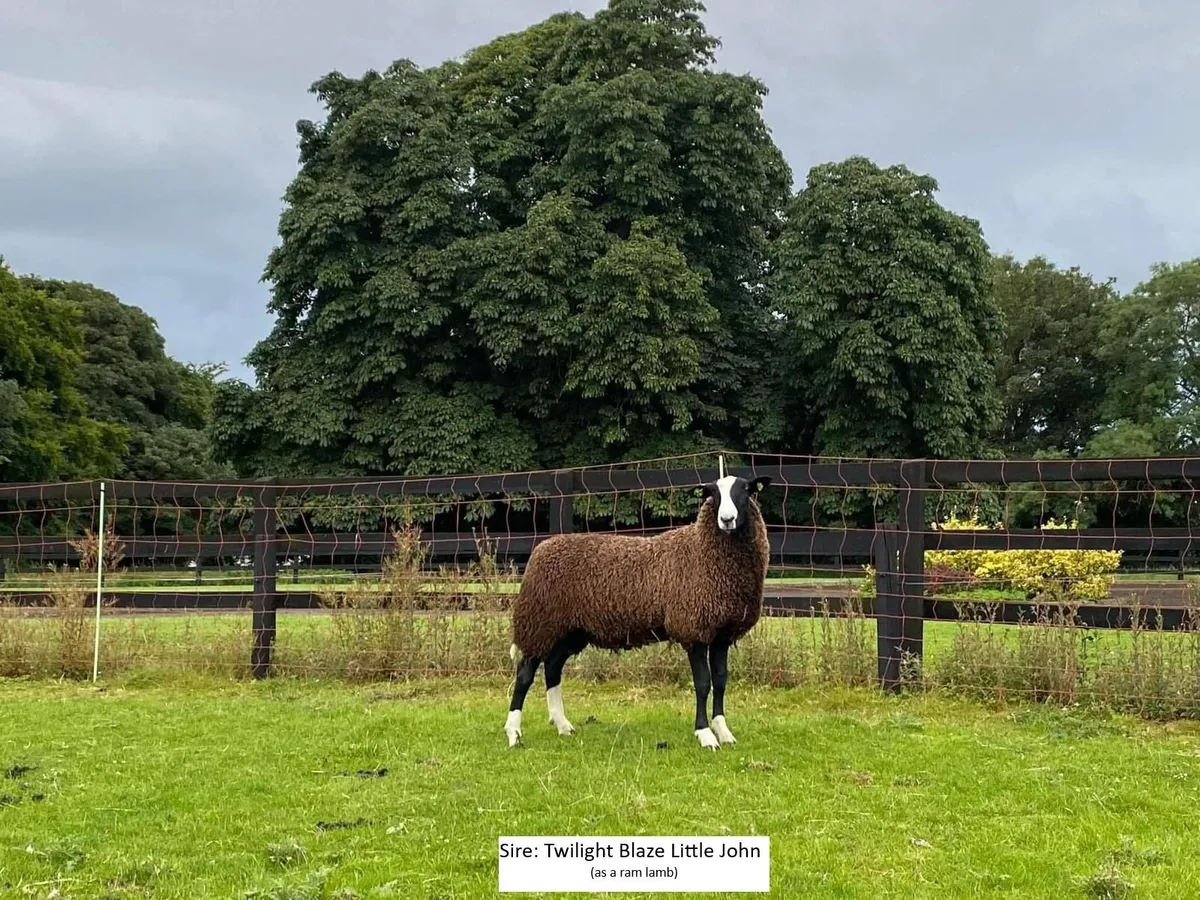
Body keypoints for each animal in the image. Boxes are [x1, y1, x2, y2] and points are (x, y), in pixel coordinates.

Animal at [503, 472, 773, 751]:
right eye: (714, 494)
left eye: (746, 490)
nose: (726, 519)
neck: (702, 550)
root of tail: (542, 548)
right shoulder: (693, 628)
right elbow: (702, 684)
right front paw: (705, 734)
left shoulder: (722, 633)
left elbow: (720, 681)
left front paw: (723, 731)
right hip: (539, 622)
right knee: (525, 674)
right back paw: (514, 732)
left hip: (570, 630)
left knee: (553, 668)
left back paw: (563, 725)